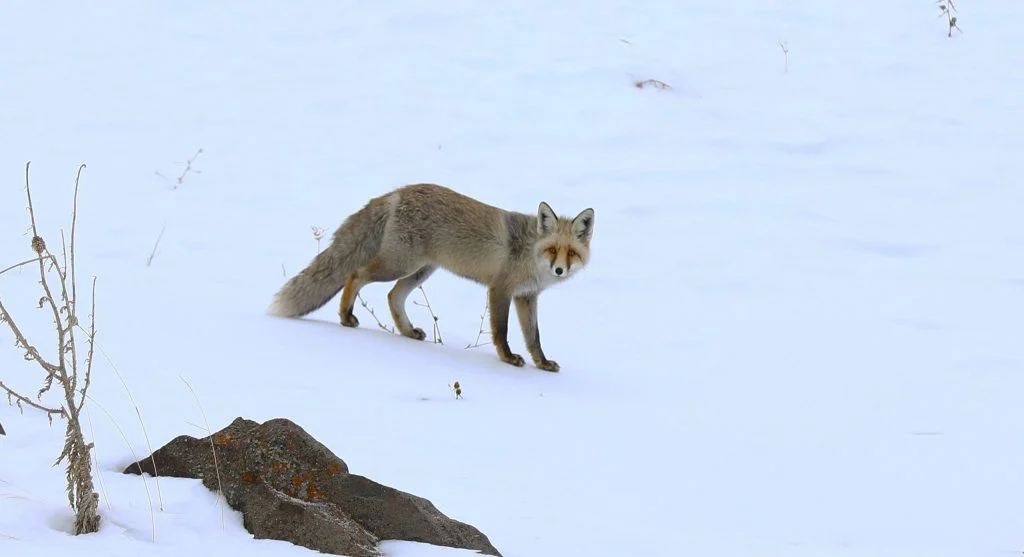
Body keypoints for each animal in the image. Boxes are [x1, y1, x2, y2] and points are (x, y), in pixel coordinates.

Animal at [267, 183, 595, 372]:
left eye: (570, 253)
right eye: (552, 250)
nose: (559, 270)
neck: (529, 254)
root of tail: (398, 190)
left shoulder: (526, 297)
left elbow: (533, 337)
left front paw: (542, 363)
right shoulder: (500, 290)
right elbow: (501, 332)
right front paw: (507, 358)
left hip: (420, 271)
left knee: (393, 296)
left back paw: (407, 332)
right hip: (398, 264)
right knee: (355, 275)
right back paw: (346, 317)